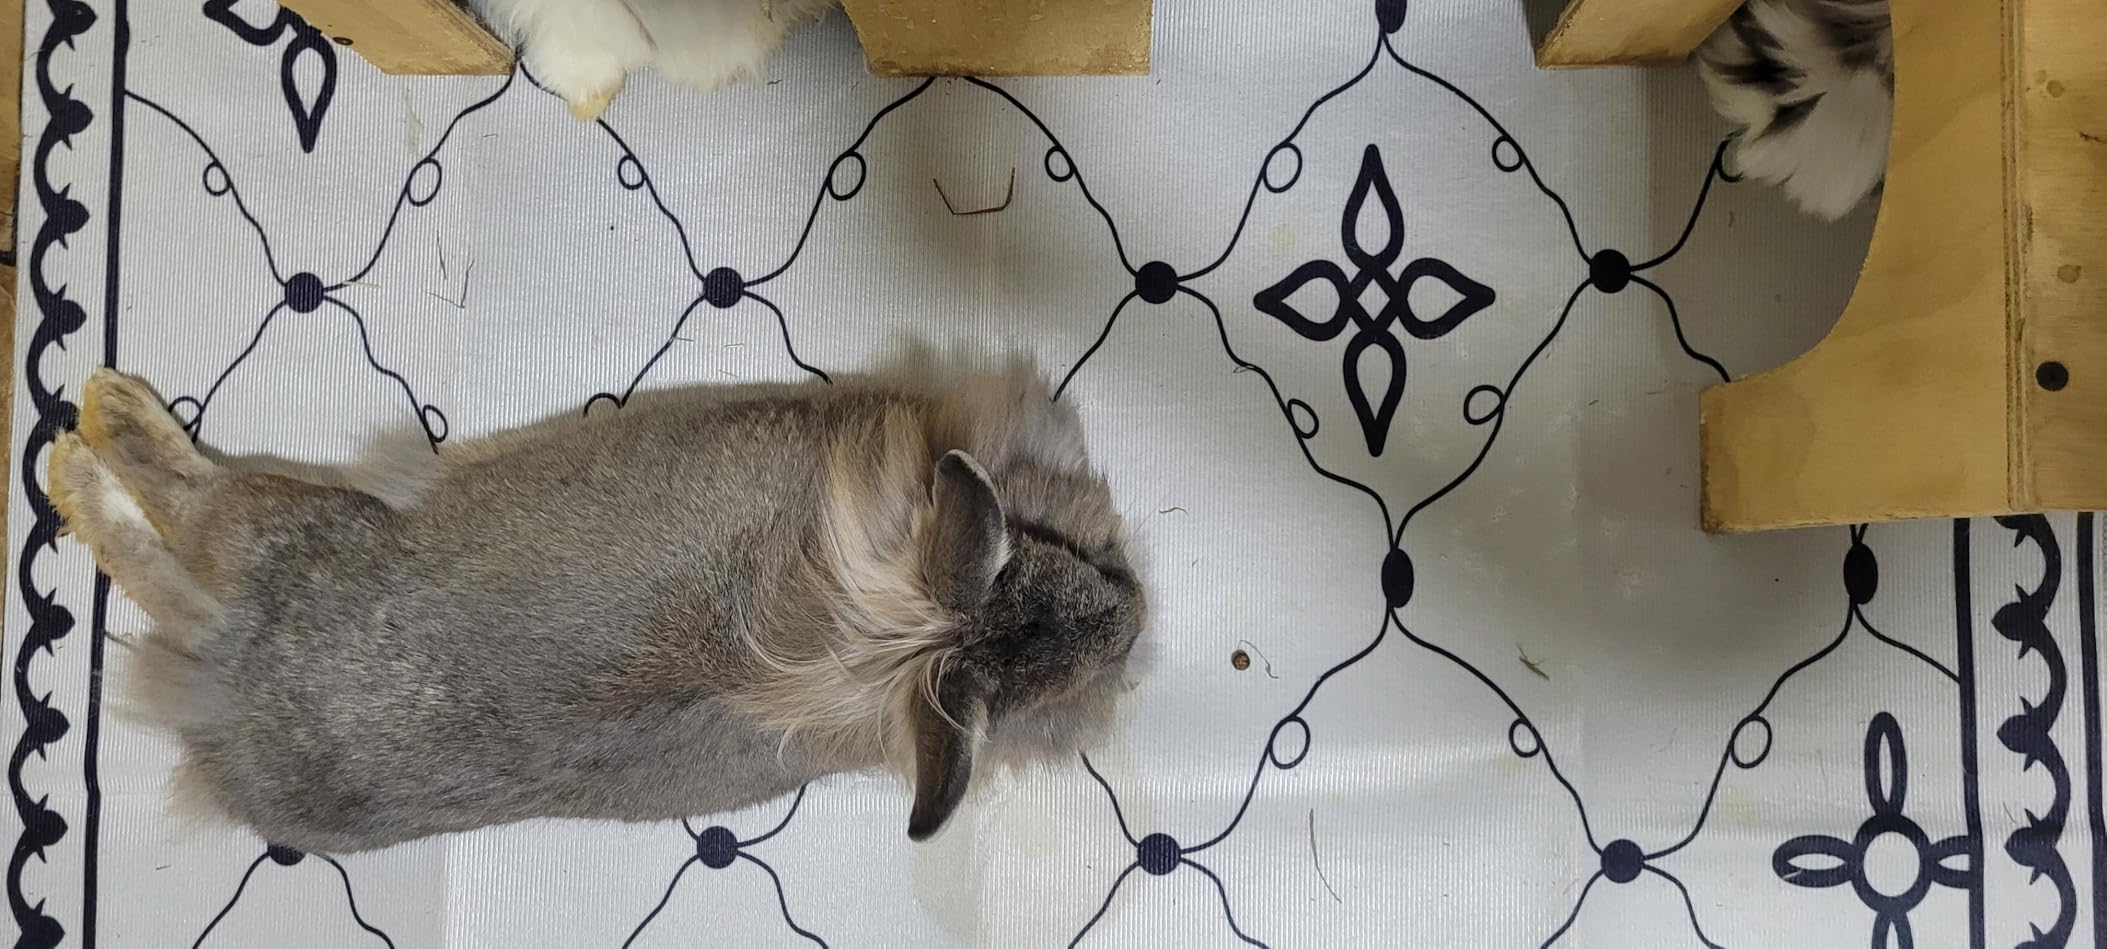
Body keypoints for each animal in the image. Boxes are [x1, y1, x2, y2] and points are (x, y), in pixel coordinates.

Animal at [50, 359, 1146, 853]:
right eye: (1044, 555)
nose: (1136, 615)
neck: (887, 632)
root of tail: (227, 675)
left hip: (277, 535)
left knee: (175, 531)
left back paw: (83, 444)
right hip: (288, 517)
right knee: (187, 506)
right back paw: (97, 421)